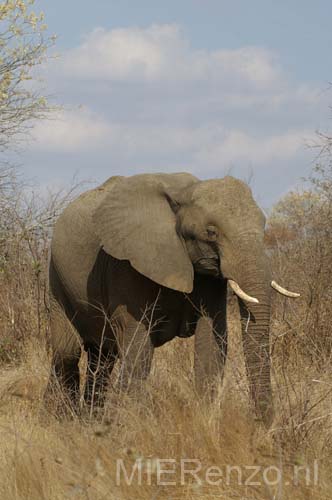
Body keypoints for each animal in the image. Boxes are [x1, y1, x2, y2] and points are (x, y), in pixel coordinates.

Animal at [48, 173, 300, 426]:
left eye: (263, 225)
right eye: (211, 232)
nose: (261, 424)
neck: (184, 193)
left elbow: (211, 340)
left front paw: (204, 420)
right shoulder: (125, 266)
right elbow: (138, 344)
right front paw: (131, 426)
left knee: (102, 356)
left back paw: (92, 420)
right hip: (57, 280)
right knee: (68, 352)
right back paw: (64, 419)